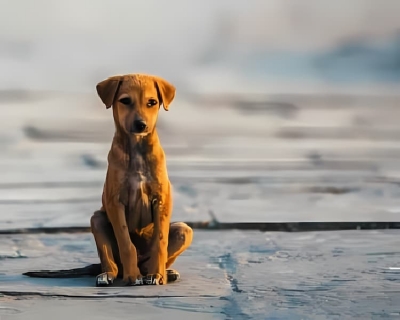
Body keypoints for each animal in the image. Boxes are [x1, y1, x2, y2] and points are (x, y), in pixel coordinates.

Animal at [90, 74, 193, 286]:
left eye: (152, 102)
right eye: (125, 101)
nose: (141, 125)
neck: (137, 149)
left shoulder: (162, 201)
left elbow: (160, 241)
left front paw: (158, 275)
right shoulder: (115, 203)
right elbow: (126, 242)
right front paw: (132, 276)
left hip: (184, 230)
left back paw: (164, 272)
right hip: (97, 219)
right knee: (112, 263)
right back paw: (108, 274)